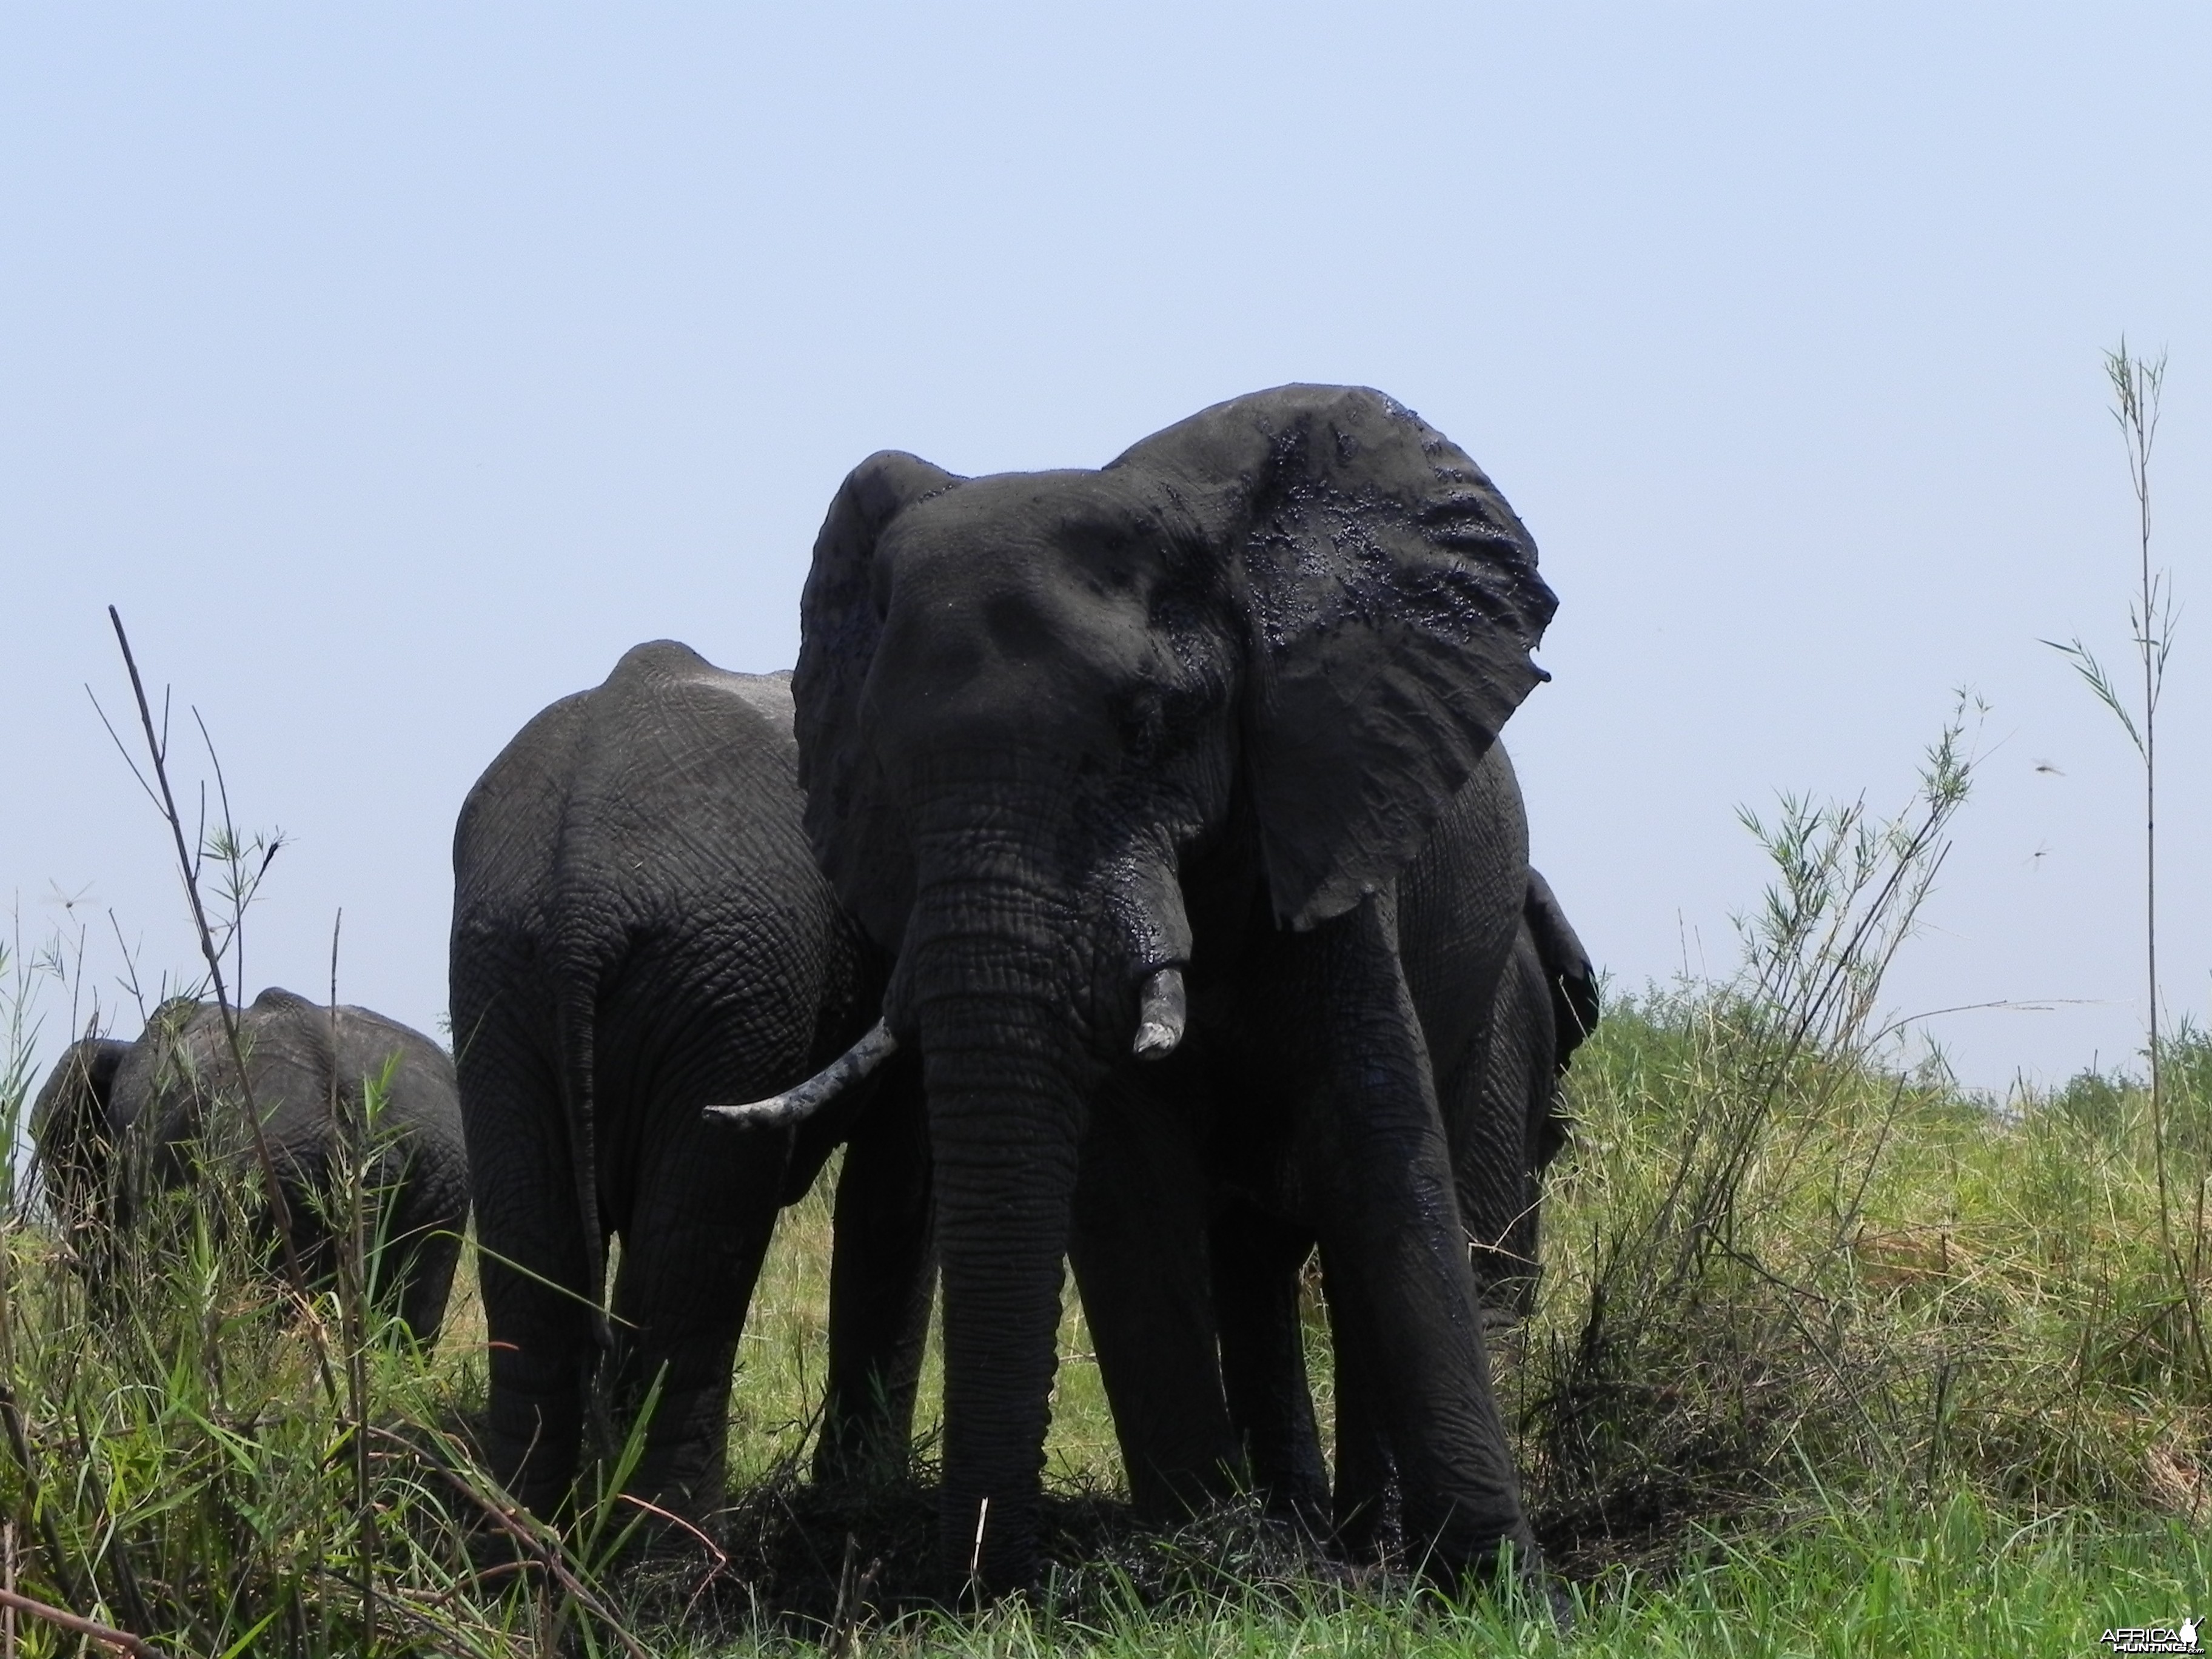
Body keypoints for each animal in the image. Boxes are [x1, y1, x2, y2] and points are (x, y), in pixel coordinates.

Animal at [449, 641, 933, 1540]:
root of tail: (583, 889)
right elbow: (899, 1192)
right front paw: (865, 1502)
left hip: (499, 963)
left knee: (537, 1273)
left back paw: (524, 1551)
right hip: (735, 975)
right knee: (691, 1281)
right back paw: (680, 1565)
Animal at [725, 383, 1557, 1592]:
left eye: (1152, 725)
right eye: (881, 759)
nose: (978, 1588)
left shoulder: (1321, 802)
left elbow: (1373, 1141)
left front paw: (1506, 1592)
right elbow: (1127, 1183)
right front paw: (1209, 1570)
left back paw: (1366, 1547)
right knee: (1246, 1259)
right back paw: (1299, 1534)